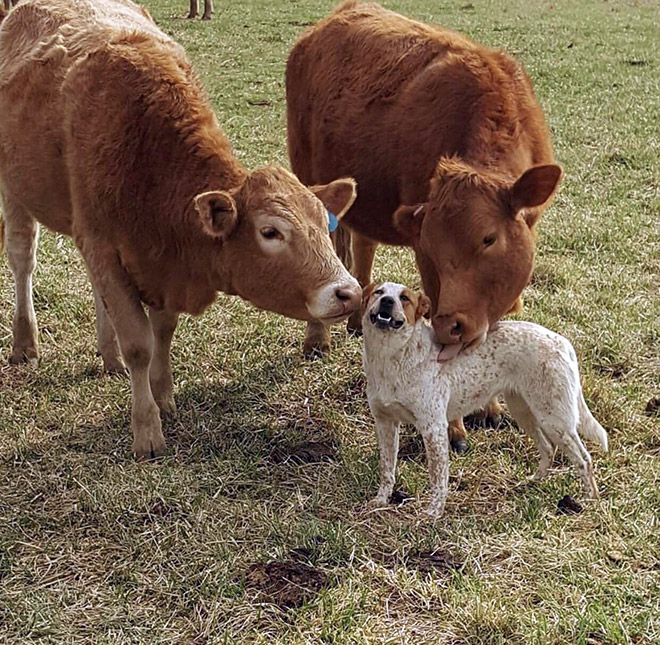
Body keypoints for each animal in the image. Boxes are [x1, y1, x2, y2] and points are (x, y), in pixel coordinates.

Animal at [0, 0, 360, 458]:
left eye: (323, 222)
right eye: (271, 232)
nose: (349, 292)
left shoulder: (160, 262)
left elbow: (162, 332)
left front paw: (163, 393)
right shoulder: (102, 243)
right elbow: (139, 343)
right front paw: (146, 428)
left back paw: (108, 355)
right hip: (14, 190)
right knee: (22, 260)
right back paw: (25, 343)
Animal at [288, 0, 564, 450]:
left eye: (489, 238)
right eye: (432, 250)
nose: (453, 324)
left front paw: (489, 406)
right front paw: (455, 426)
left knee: (362, 245)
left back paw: (356, 317)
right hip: (310, 179)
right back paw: (318, 337)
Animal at [360, 282, 608, 520]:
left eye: (404, 298)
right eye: (378, 292)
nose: (387, 301)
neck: (390, 358)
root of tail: (563, 342)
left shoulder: (433, 428)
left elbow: (438, 479)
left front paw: (433, 514)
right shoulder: (385, 424)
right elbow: (386, 469)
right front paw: (380, 501)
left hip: (555, 419)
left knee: (584, 459)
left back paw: (590, 502)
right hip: (525, 412)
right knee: (548, 448)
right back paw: (532, 482)